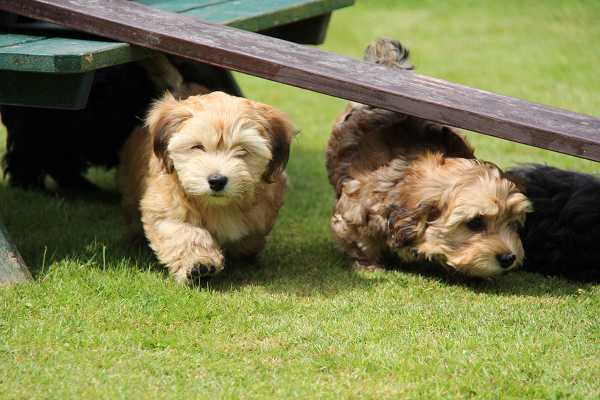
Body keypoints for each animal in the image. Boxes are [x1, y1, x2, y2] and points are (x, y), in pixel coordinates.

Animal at [118, 90, 296, 284]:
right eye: (198, 146)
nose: (217, 180)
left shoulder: (263, 211)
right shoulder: (167, 206)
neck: (219, 205)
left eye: (242, 149)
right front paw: (199, 264)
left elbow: (251, 236)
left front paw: (244, 252)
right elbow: (184, 233)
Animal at [326, 38, 532, 278]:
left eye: (513, 223)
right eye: (475, 223)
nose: (508, 257)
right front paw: (369, 266)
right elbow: (360, 240)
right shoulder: (355, 210)